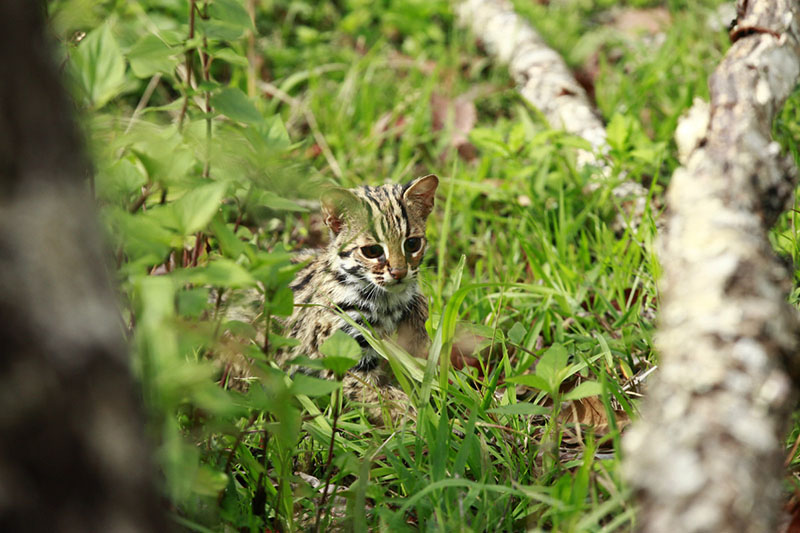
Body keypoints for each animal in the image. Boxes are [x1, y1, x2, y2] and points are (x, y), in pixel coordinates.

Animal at [280, 172, 440, 422]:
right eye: (372, 251)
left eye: (413, 244)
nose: (399, 273)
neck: (385, 300)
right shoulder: (344, 358)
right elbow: (385, 397)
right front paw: (423, 420)